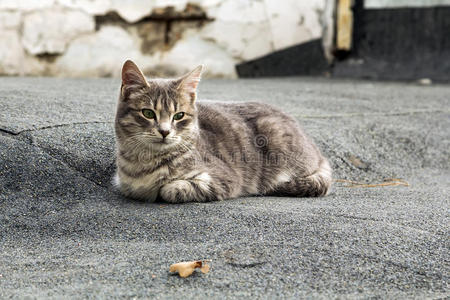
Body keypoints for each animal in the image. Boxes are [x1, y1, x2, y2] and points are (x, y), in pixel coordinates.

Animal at [114, 59, 332, 203]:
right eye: (148, 113)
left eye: (179, 115)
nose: (165, 131)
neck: (145, 163)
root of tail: (319, 153)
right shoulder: (126, 185)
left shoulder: (224, 179)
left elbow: (170, 189)